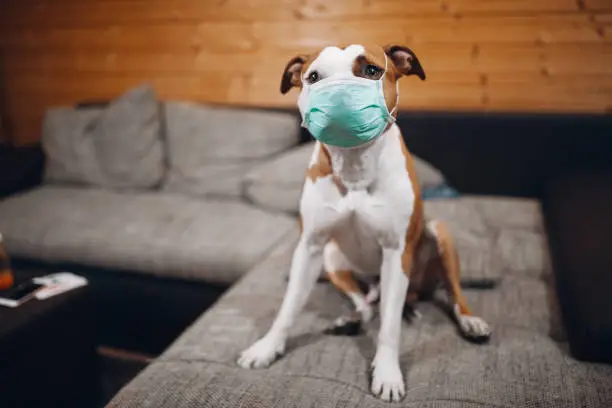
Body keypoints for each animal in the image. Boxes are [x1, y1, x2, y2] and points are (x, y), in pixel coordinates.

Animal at [237, 43, 490, 402]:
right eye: (313, 77)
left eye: (372, 70)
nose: (339, 96)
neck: (354, 161)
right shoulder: (310, 247)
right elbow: (288, 307)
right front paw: (267, 348)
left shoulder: (396, 253)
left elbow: (389, 327)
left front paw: (387, 373)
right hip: (333, 258)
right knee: (367, 305)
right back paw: (350, 319)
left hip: (438, 236)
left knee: (449, 295)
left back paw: (469, 322)